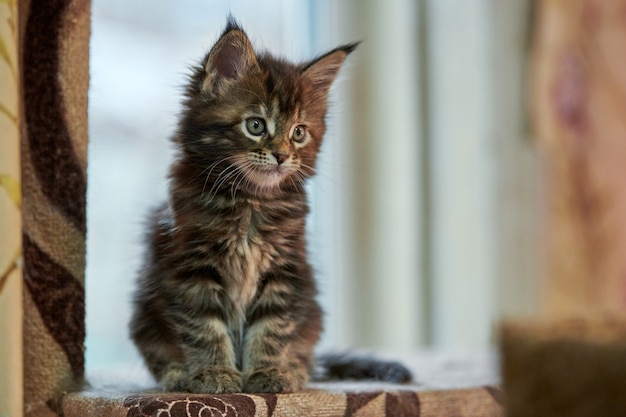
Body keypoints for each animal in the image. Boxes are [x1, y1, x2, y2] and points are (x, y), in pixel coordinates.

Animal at [129, 17, 410, 394]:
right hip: (144, 314)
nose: (281, 155)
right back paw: (176, 375)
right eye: (256, 125)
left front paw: (269, 373)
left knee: (307, 353)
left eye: (299, 133)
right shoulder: (191, 268)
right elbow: (205, 328)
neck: (251, 202)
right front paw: (214, 373)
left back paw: (294, 369)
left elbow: (272, 329)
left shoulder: (285, 271)